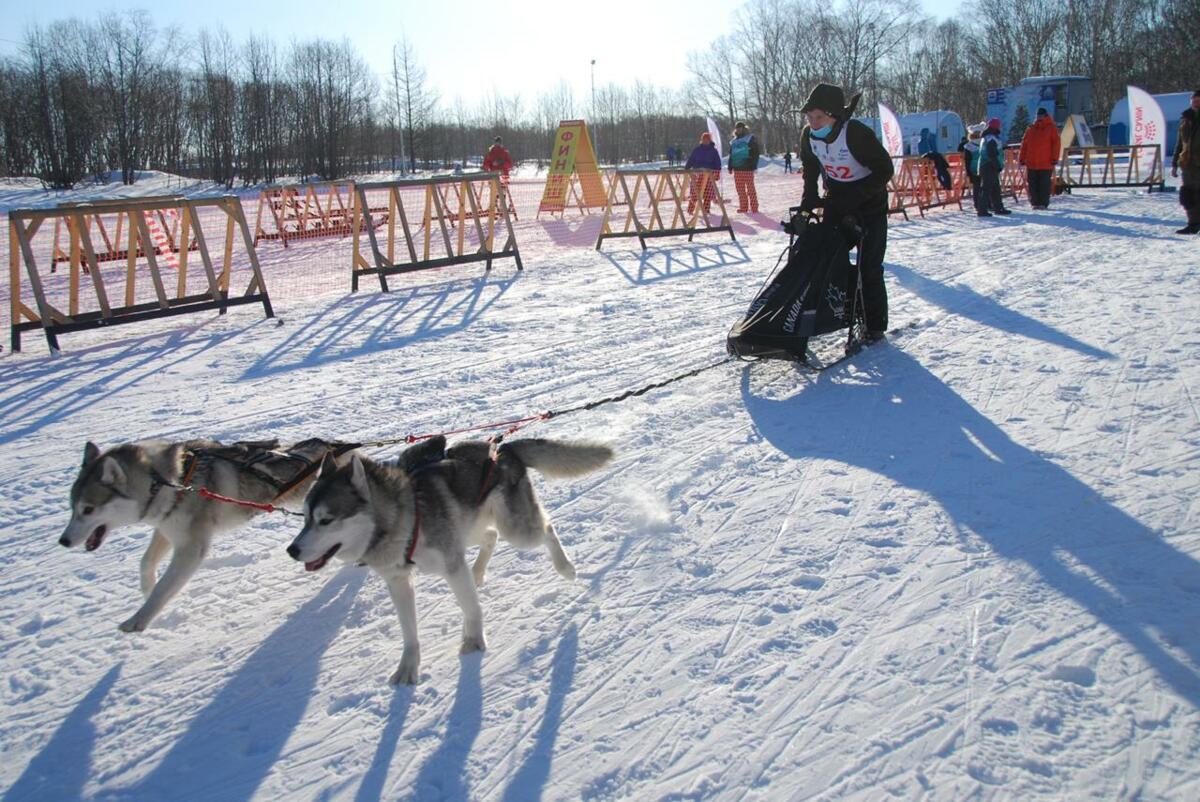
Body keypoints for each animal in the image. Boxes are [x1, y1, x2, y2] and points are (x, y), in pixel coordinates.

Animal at [58, 439, 364, 633]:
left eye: (88, 509)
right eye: (72, 507)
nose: (63, 541)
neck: (170, 481)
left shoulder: (191, 547)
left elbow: (164, 588)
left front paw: (139, 618)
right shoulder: (168, 529)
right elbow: (146, 564)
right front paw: (147, 588)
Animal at [285, 439, 614, 681]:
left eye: (326, 520)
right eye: (304, 517)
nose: (292, 550)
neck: (403, 517)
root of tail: (503, 448)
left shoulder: (452, 565)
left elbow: (471, 608)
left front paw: (474, 640)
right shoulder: (399, 581)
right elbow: (409, 631)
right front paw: (409, 666)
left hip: (517, 530)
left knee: (546, 529)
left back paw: (565, 567)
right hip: (469, 528)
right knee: (491, 537)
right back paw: (478, 572)